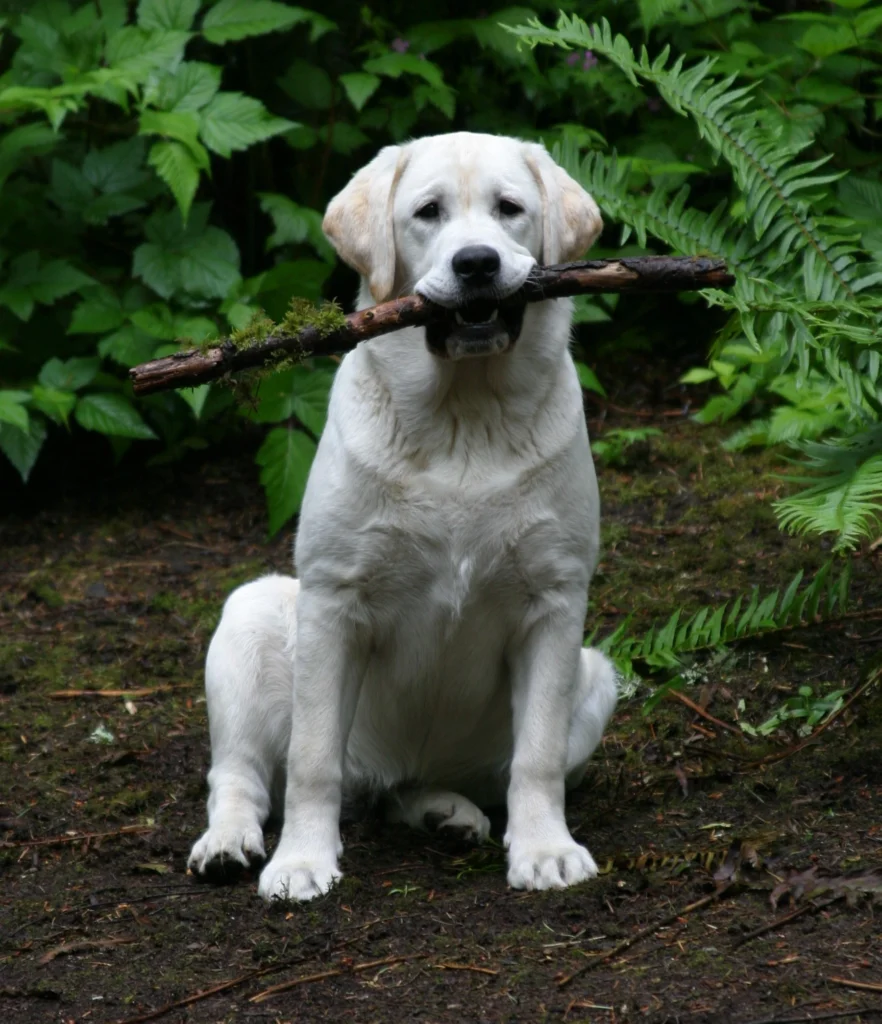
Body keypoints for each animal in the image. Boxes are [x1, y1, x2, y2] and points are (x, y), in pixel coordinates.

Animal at [186, 132, 614, 901]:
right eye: (428, 212)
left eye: (510, 209)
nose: (477, 263)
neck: (463, 417)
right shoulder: (333, 600)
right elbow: (312, 759)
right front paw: (300, 861)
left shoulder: (556, 601)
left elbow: (535, 757)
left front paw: (545, 850)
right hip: (250, 617)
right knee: (240, 776)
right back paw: (230, 843)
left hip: (595, 676)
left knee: (413, 789)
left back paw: (446, 811)